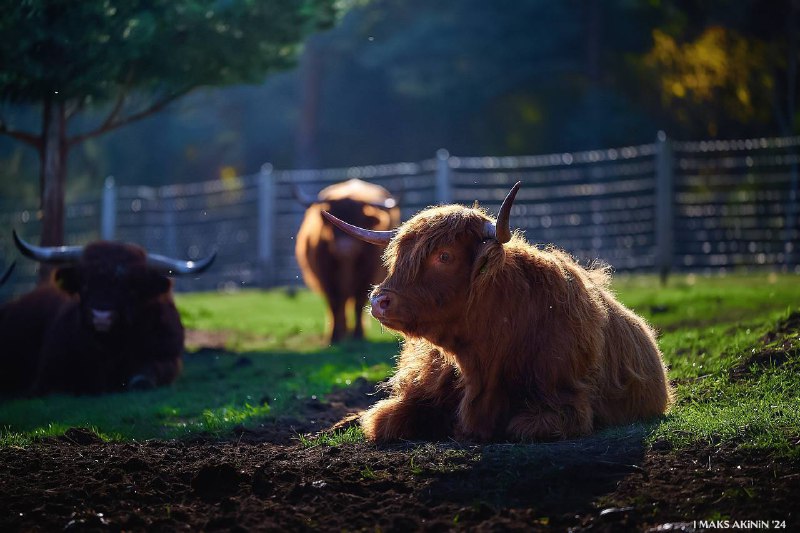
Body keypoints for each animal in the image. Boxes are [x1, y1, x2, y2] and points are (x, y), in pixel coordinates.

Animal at [0, 231, 216, 396]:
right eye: (85, 283)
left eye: (130, 287)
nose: (101, 316)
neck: (111, 347)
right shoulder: (48, 371)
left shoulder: (166, 359)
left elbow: (142, 380)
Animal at [294, 179, 400, 342]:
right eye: (332, 223)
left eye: (360, 218)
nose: (344, 248)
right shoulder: (325, 277)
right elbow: (335, 303)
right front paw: (335, 336)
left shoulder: (367, 277)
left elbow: (358, 303)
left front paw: (358, 335)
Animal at [322, 183, 672, 440]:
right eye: (398, 257)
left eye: (444, 256)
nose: (378, 301)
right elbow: (382, 419)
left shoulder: (566, 404)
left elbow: (521, 426)